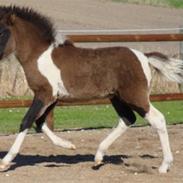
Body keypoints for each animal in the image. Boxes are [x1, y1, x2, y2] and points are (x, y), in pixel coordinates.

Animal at [0, 5, 183, 172]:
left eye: (2, 32)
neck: (39, 56)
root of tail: (144, 57)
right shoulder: (52, 97)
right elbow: (40, 122)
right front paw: (69, 145)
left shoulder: (45, 94)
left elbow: (27, 120)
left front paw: (6, 162)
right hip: (116, 97)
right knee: (127, 119)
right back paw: (98, 157)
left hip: (135, 96)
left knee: (157, 119)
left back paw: (164, 166)